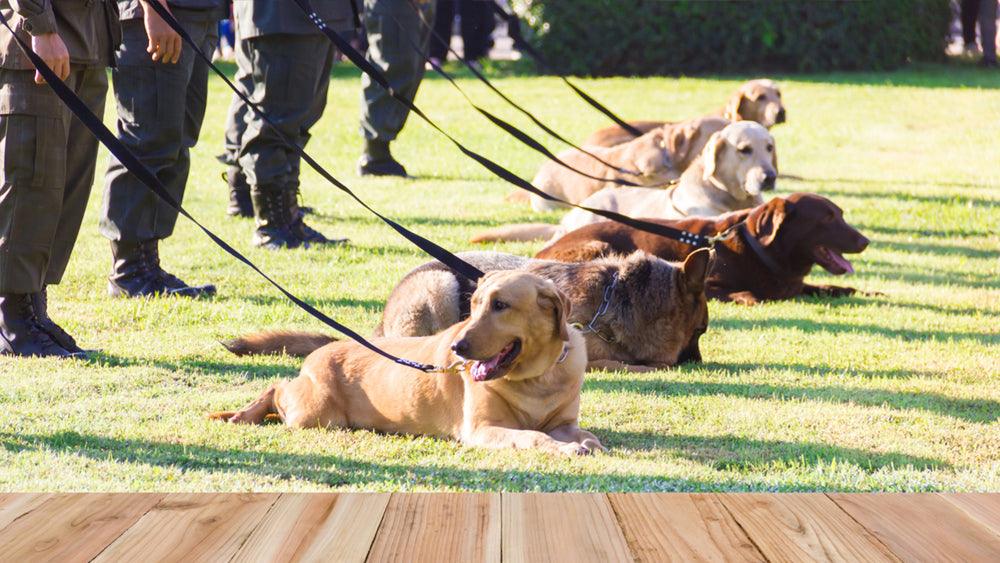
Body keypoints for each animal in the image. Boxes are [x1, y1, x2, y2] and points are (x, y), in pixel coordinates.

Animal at [536, 196, 872, 306]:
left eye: (840, 214)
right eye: (827, 219)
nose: (865, 241)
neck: (759, 251)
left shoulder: (798, 284)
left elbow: (832, 287)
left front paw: (867, 292)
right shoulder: (706, 284)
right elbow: (746, 293)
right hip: (599, 246)